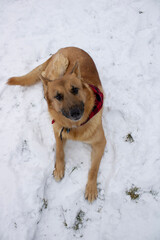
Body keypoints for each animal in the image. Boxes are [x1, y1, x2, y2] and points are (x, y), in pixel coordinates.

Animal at [7, 47, 106, 202]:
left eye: (75, 89)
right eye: (58, 96)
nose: (75, 112)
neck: (75, 127)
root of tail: (63, 48)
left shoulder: (100, 143)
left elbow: (94, 168)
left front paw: (91, 188)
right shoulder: (58, 131)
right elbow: (59, 151)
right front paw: (59, 169)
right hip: (60, 64)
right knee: (43, 77)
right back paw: (45, 91)